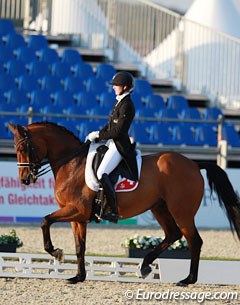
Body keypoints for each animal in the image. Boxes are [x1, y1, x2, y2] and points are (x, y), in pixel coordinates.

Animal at [7, 121, 240, 284]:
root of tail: (193, 164)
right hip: (159, 208)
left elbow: (44, 221)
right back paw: (145, 266)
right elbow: (80, 246)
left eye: (24, 148)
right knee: (173, 234)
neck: (71, 164)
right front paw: (78, 277)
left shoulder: (76, 210)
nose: (24, 179)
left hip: (181, 211)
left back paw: (188, 280)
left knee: (194, 241)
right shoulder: (78, 217)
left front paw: (56, 253)